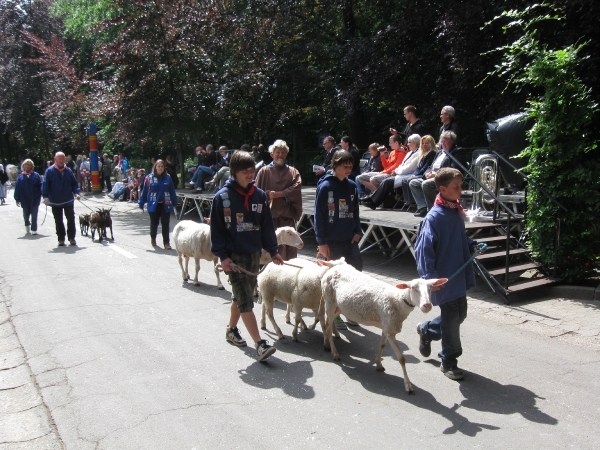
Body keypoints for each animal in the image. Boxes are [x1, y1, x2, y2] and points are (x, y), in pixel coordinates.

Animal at [324, 264, 446, 394]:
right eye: (413, 287)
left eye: (431, 288)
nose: (427, 306)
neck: (398, 300)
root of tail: (334, 267)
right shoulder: (390, 330)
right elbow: (401, 358)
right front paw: (408, 385)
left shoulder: (386, 326)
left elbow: (382, 345)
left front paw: (378, 364)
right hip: (329, 301)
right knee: (327, 328)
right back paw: (334, 353)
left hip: (338, 307)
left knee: (328, 324)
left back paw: (329, 342)